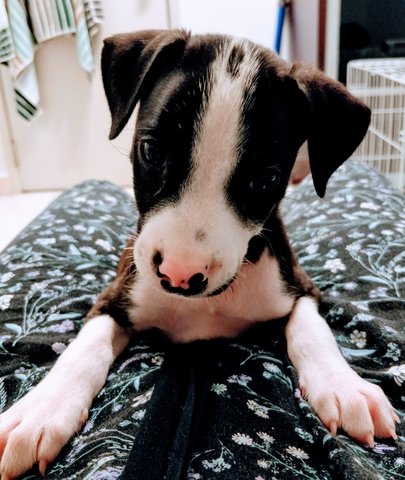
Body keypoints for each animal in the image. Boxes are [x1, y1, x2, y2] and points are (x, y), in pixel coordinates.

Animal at [0, 31, 398, 478]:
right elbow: (84, 350)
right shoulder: (116, 295)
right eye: (152, 152)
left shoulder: (300, 284)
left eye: (266, 179)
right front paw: (39, 411)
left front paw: (344, 386)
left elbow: (312, 330)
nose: (177, 275)